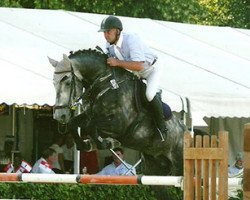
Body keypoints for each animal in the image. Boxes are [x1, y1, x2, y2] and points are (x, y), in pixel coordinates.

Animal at [48, 49, 186, 199]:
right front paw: (85, 144)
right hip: (155, 171)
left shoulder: (119, 124)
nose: (60, 115)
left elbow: (92, 126)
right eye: (54, 83)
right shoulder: (90, 115)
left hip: (179, 166)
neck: (105, 84)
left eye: (67, 82)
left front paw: (106, 143)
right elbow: (74, 123)